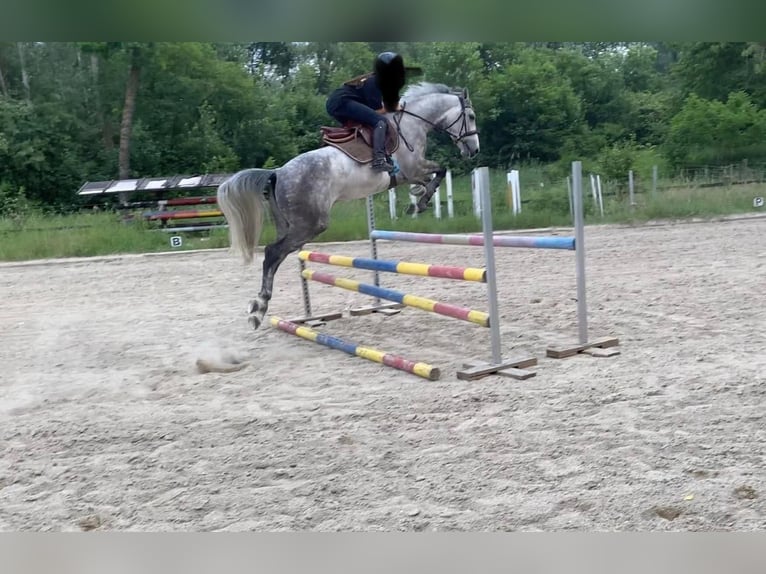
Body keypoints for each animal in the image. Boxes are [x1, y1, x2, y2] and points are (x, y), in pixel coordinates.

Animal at [218, 82, 480, 330]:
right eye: (471, 116)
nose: (474, 150)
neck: (411, 123)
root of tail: (278, 172)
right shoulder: (412, 168)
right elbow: (440, 170)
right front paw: (421, 202)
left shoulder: (410, 173)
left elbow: (432, 178)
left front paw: (419, 196)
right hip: (311, 224)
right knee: (273, 252)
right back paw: (259, 307)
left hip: (289, 224)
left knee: (277, 255)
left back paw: (261, 306)